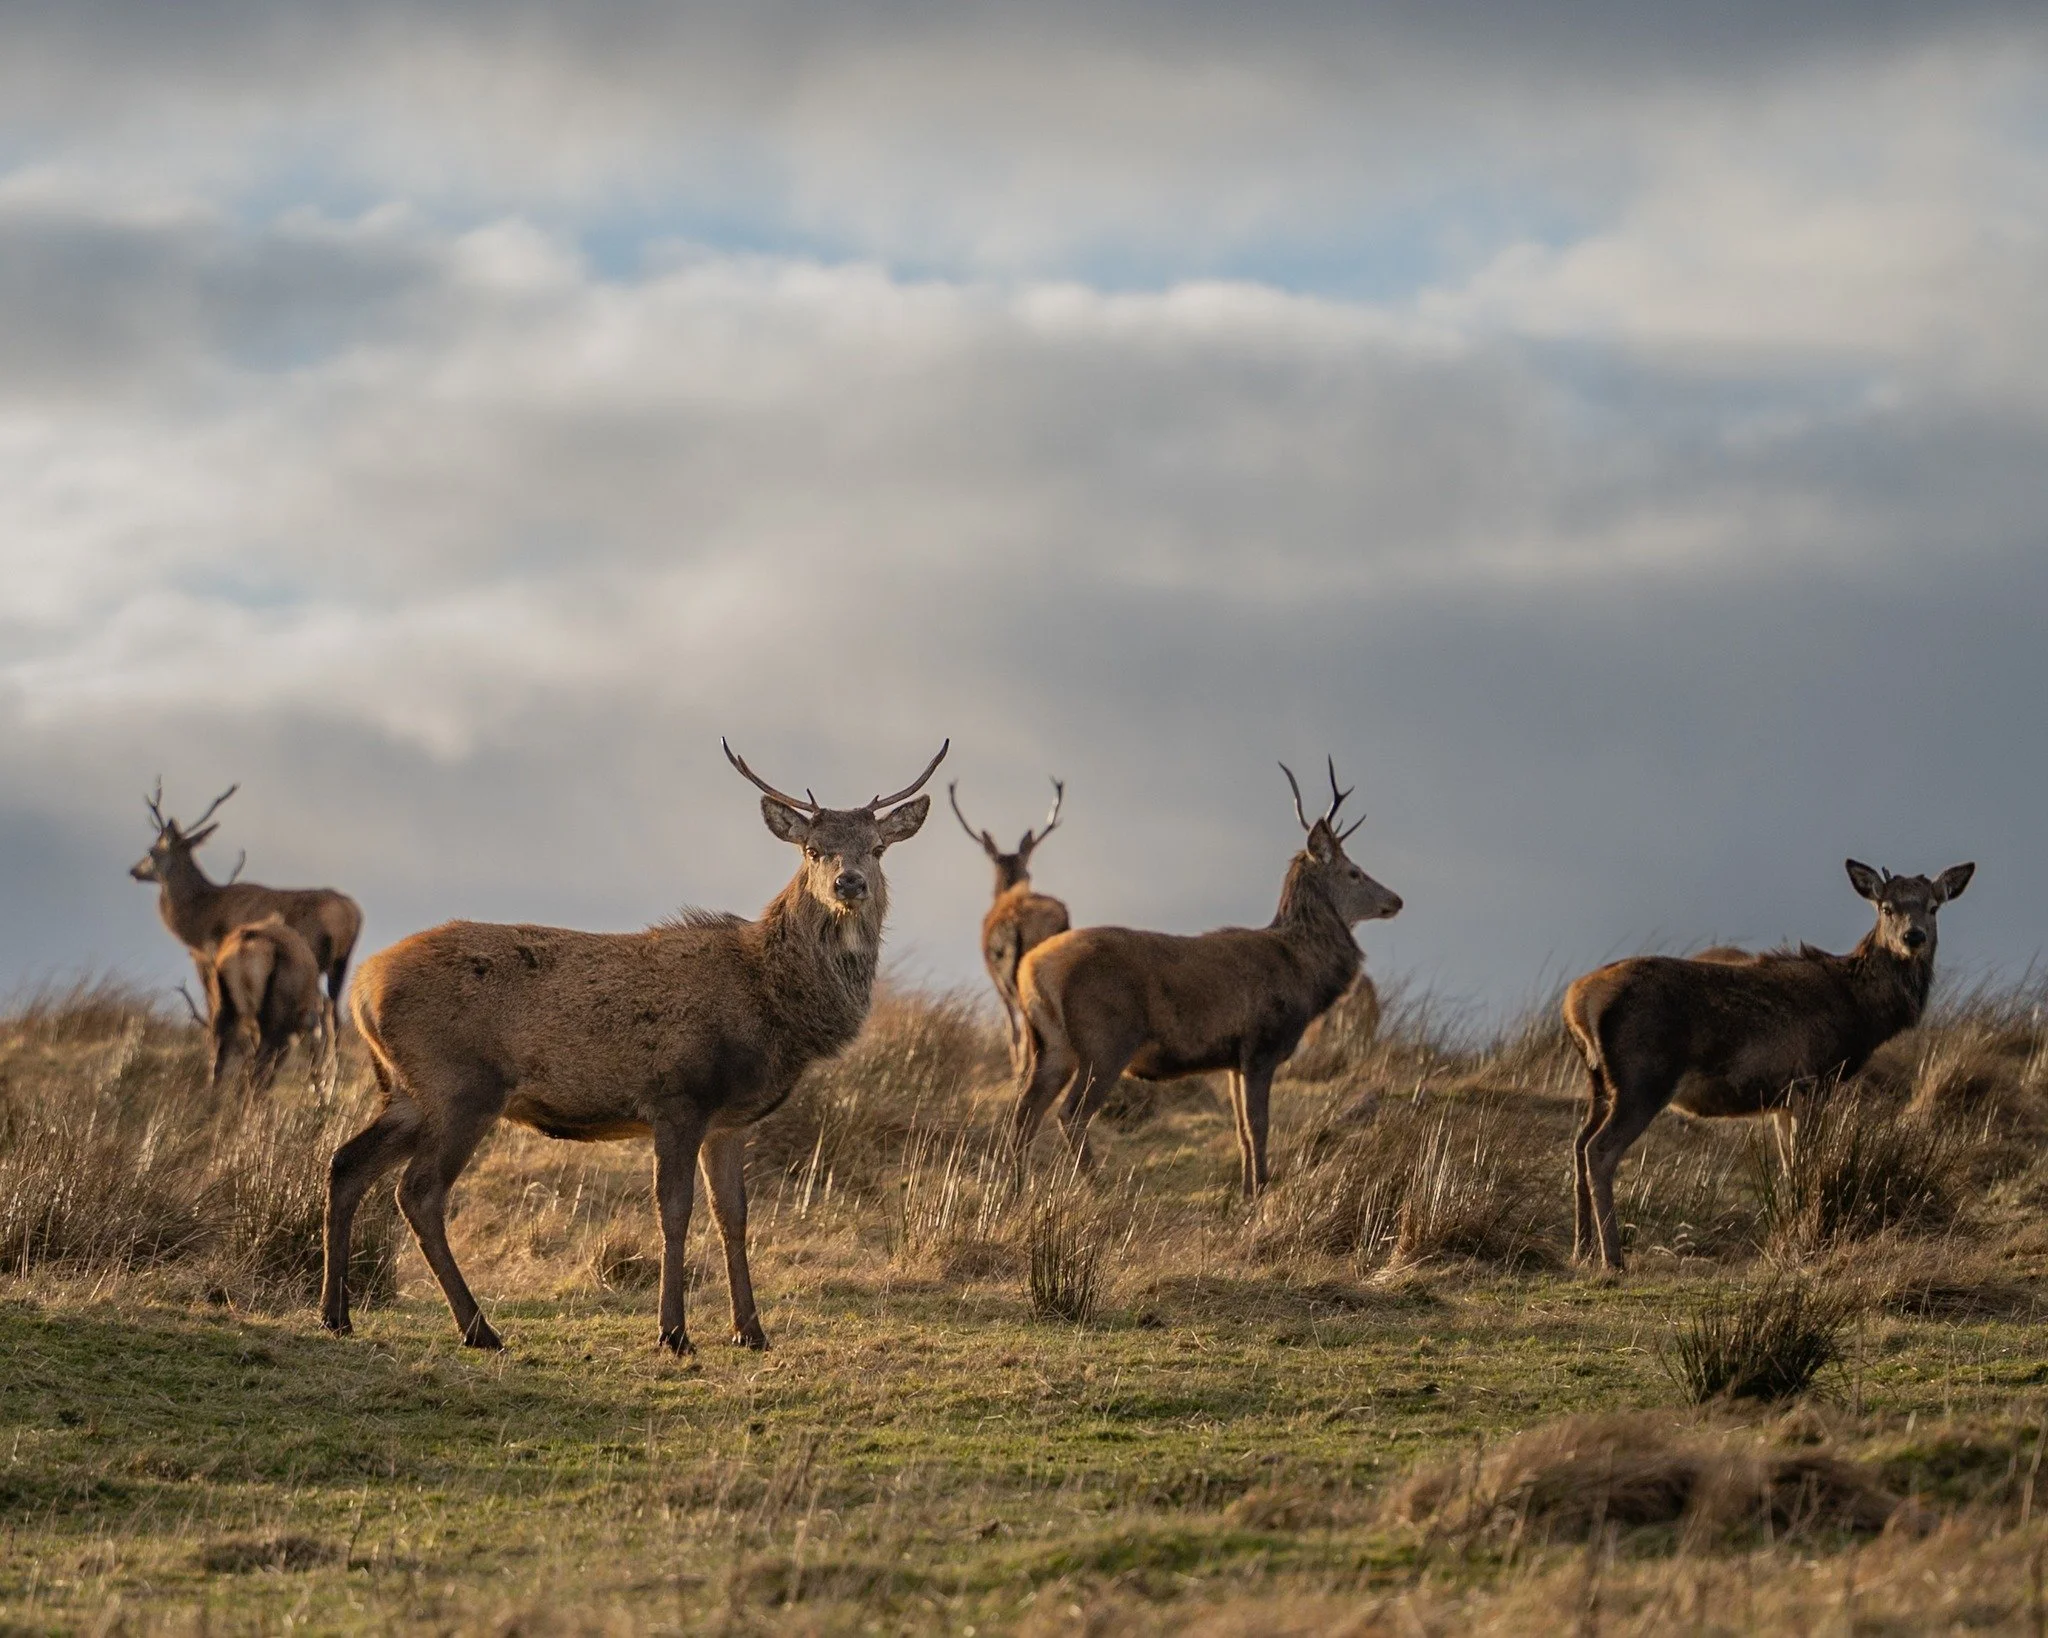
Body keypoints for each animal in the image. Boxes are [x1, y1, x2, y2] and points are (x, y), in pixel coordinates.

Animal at [320, 739, 947, 1354]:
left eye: (877, 848)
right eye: (813, 850)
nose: (850, 882)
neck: (771, 1005)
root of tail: (362, 987)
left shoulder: (729, 1120)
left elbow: (734, 1216)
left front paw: (751, 1330)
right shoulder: (678, 1098)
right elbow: (674, 1212)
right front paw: (674, 1332)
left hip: (407, 1091)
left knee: (346, 1163)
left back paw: (337, 1316)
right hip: (461, 1087)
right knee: (418, 1192)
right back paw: (478, 1329)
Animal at [1009, 759, 1402, 1198]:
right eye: (1354, 872)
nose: (1396, 900)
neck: (1305, 977)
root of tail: (1032, 969)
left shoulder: (1234, 1058)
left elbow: (1242, 1129)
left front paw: (1247, 1189)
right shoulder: (1262, 1044)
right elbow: (1260, 1125)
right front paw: (1260, 1188)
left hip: (1051, 1044)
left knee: (1025, 1111)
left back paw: (1015, 1191)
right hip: (1105, 1038)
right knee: (1071, 1112)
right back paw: (1100, 1187)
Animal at [1563, 858, 1975, 1271]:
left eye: (1933, 907)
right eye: (1887, 907)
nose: (1913, 937)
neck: (1859, 1015)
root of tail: (1578, 1000)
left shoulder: (1782, 1097)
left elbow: (1791, 1167)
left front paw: (1792, 1226)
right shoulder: (1811, 1081)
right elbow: (1807, 1164)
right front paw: (1806, 1235)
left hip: (1601, 1083)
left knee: (1579, 1142)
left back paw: (1581, 1249)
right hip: (1643, 1077)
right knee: (1599, 1150)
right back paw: (1612, 1258)